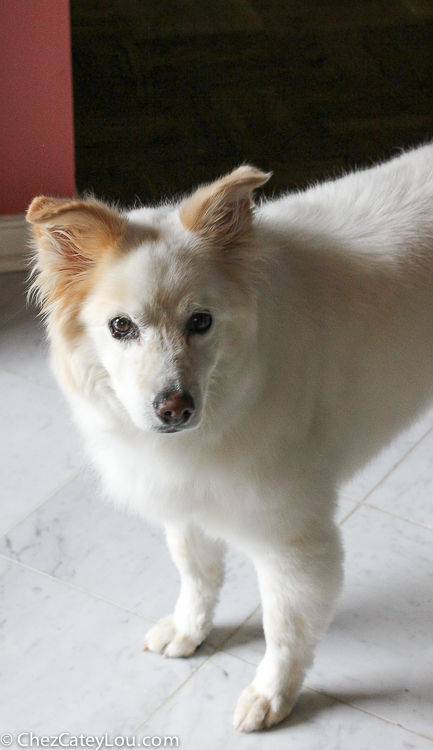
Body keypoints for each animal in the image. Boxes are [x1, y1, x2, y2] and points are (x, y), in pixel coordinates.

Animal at [27, 145, 433, 736]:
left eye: (201, 321)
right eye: (121, 327)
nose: (174, 409)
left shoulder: (293, 544)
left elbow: (284, 631)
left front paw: (271, 696)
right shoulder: (189, 499)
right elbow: (196, 573)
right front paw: (189, 631)